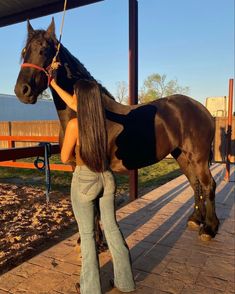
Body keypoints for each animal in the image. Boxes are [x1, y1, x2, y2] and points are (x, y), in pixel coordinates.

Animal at [14, 19, 220, 242]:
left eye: (43, 50)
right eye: (24, 51)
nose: (21, 91)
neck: (84, 112)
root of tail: (201, 109)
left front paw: (98, 241)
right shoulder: (77, 167)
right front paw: (89, 240)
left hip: (198, 157)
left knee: (208, 185)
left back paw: (209, 228)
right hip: (181, 155)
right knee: (195, 183)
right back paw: (195, 220)